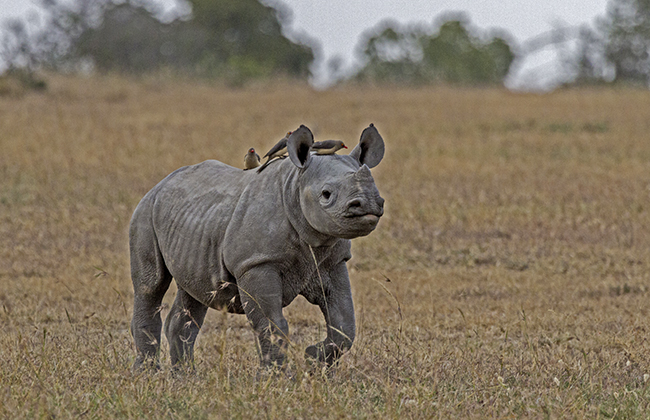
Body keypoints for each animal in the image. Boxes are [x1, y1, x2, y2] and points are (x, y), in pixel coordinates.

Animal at [129, 123, 384, 370]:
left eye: (376, 190)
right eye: (326, 194)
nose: (370, 204)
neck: (296, 185)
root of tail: (161, 183)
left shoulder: (333, 261)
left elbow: (344, 324)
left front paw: (313, 360)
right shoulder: (256, 262)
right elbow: (271, 324)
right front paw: (275, 376)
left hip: (192, 223)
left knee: (194, 291)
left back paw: (184, 374)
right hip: (145, 211)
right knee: (151, 286)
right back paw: (148, 373)